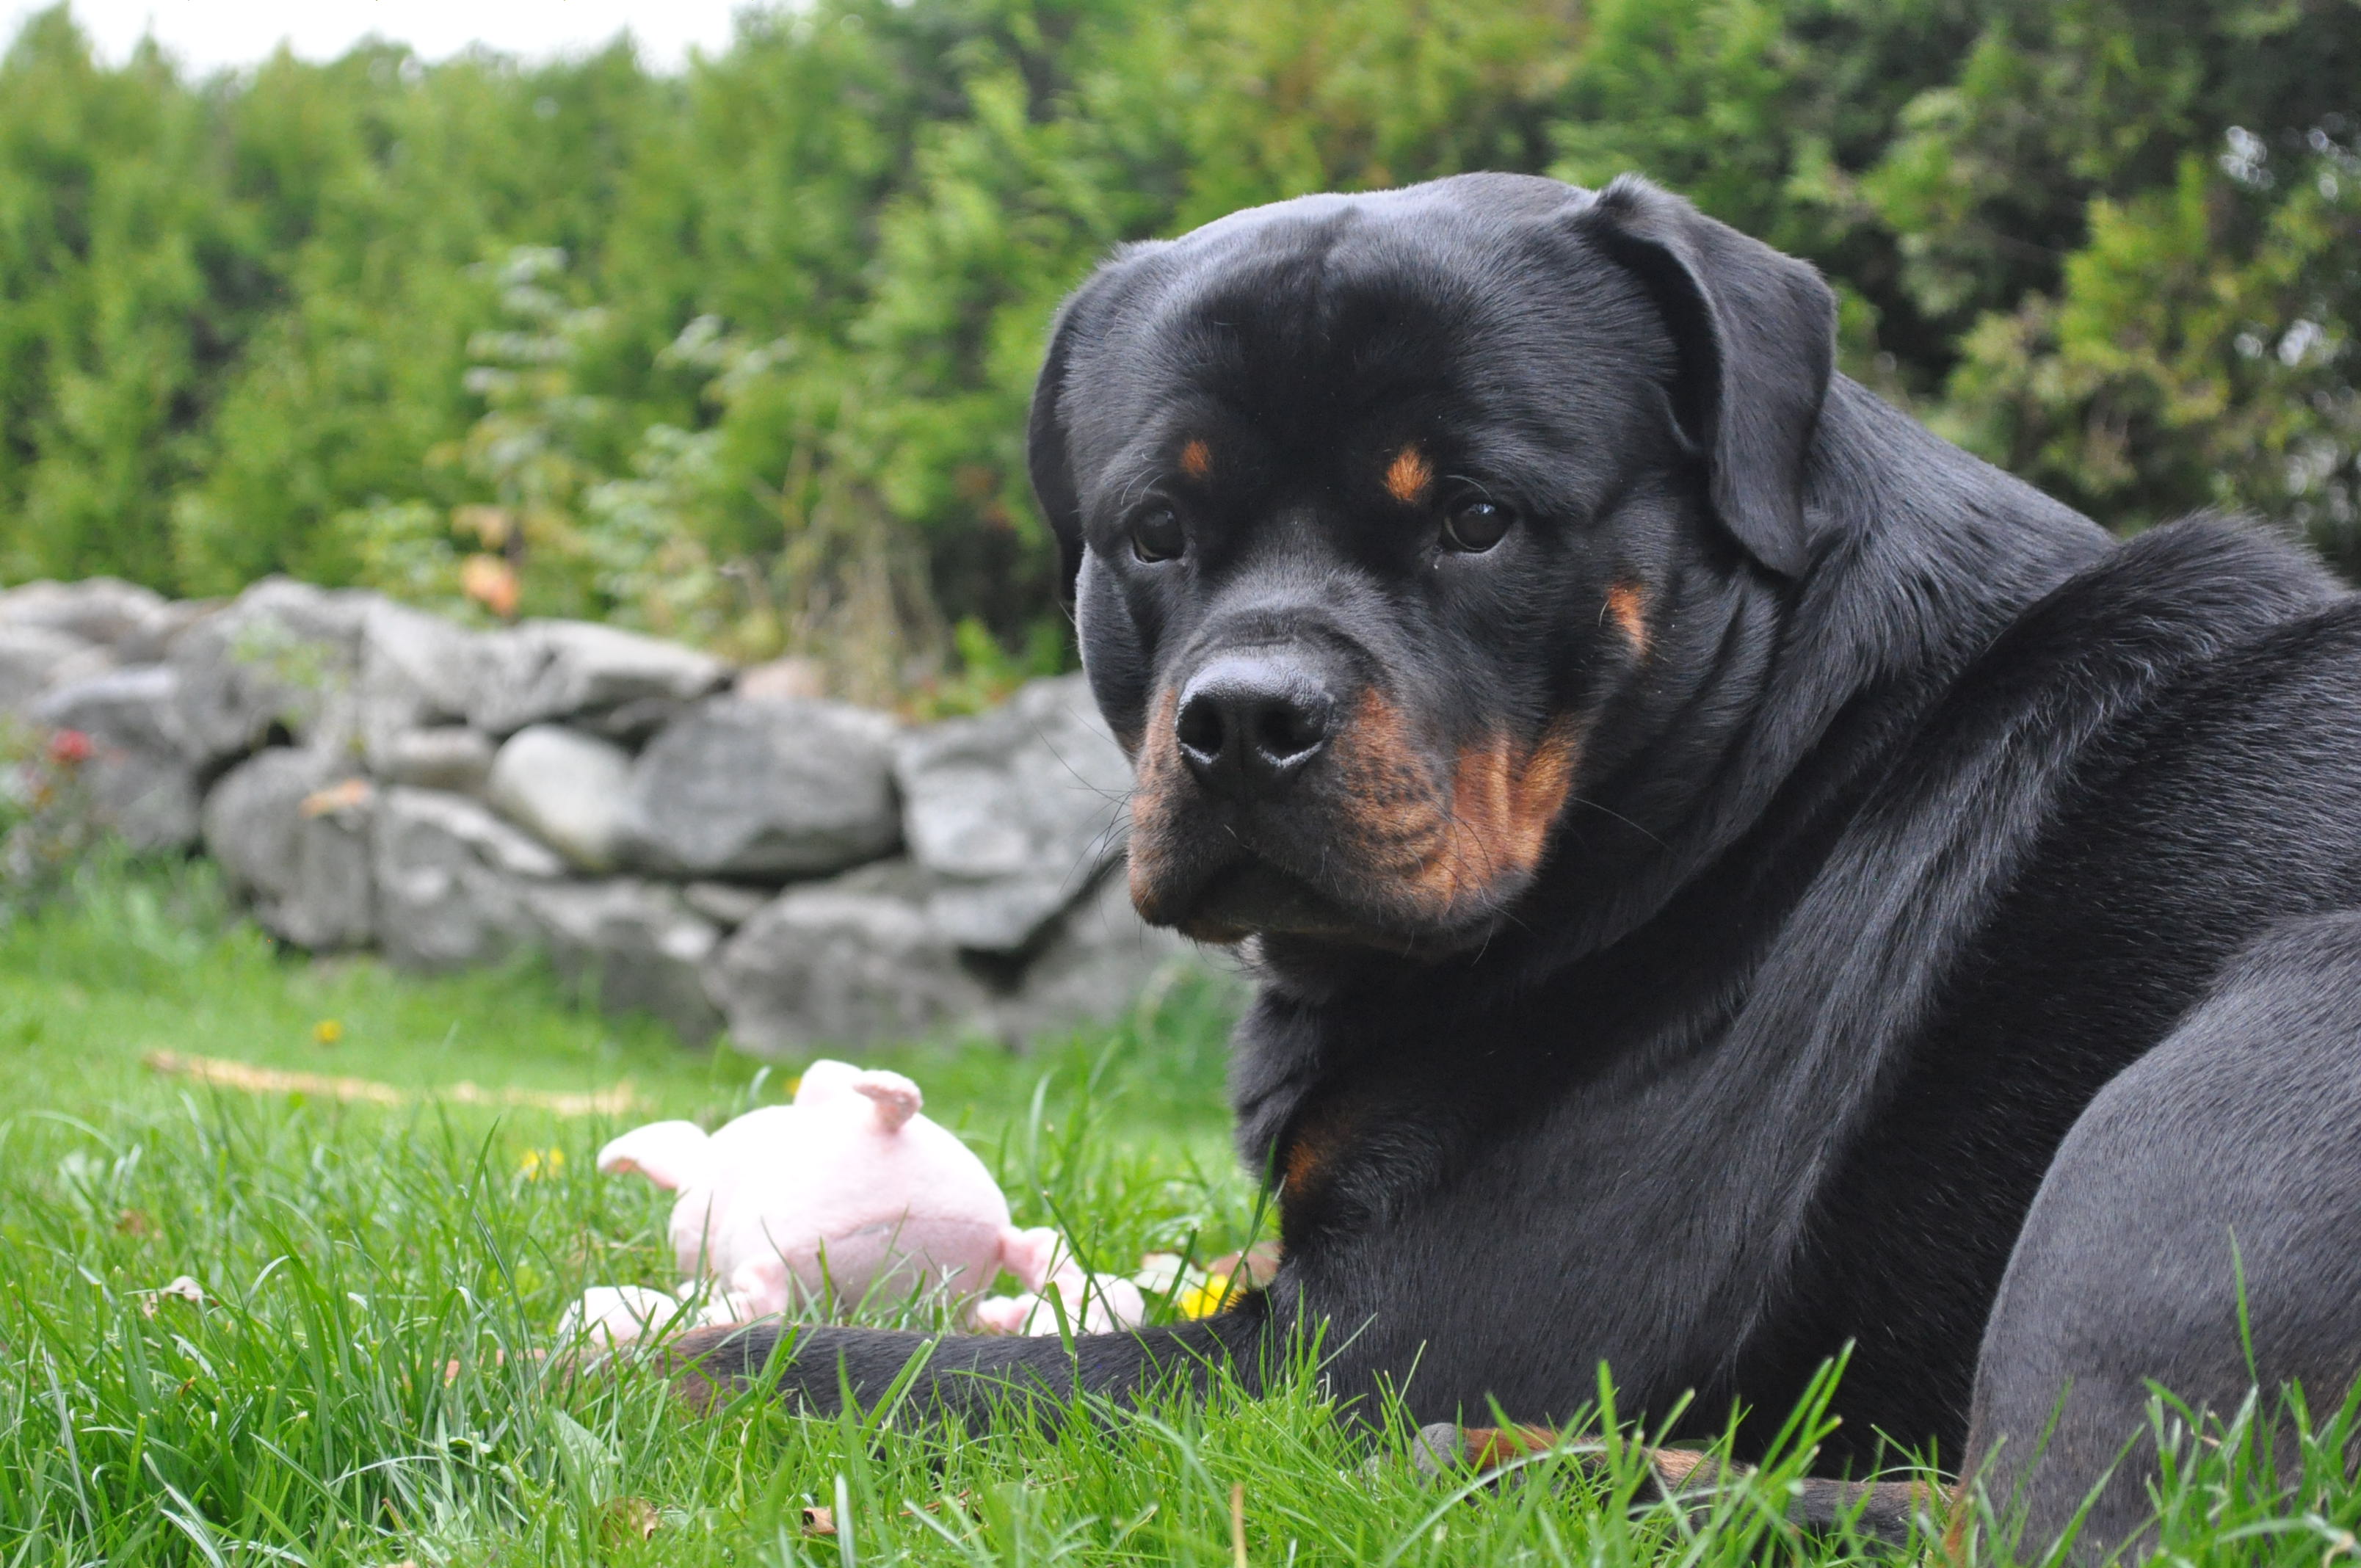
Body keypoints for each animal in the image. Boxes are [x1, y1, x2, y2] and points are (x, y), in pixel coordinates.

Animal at [674, 173, 2361, 1557]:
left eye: (1476, 517)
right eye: (1153, 529)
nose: (1242, 719)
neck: (1743, 776)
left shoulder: (1364, 1341)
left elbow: (930, 1372)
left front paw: (689, 1352)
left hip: (2227, 1095)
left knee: (2079, 1519)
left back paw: (1545, 1470)